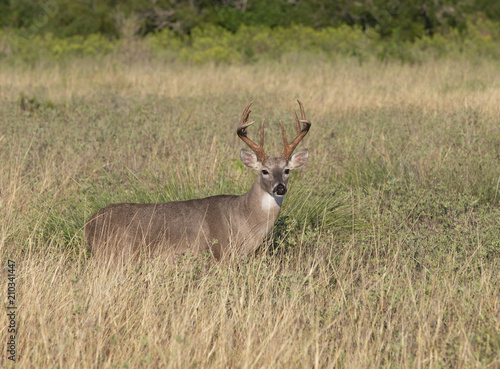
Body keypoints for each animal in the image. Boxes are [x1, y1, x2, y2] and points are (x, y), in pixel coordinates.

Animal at [85, 100, 312, 262]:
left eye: (287, 170)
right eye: (264, 171)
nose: (280, 188)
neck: (243, 217)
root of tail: (89, 223)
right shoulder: (219, 252)